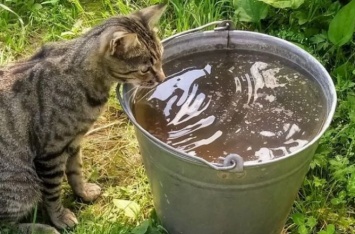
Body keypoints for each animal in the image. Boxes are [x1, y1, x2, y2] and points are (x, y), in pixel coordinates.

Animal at [0, 4, 167, 234]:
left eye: (161, 55)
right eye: (145, 69)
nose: (163, 78)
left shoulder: (74, 141)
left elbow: (75, 172)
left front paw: (84, 192)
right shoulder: (51, 152)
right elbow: (53, 192)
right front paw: (59, 217)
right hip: (23, 185)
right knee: (6, 225)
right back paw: (41, 228)